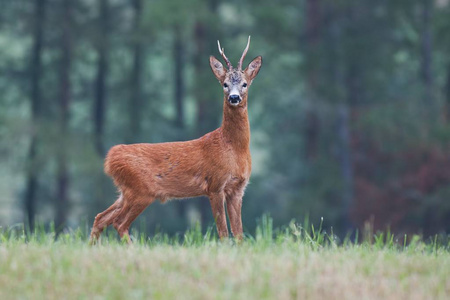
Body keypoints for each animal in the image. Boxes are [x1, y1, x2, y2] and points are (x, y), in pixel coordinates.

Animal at [89, 37, 262, 244]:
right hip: (141, 190)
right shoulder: (215, 185)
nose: (234, 97)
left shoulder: (237, 189)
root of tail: (111, 158)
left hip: (126, 191)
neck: (232, 148)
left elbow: (239, 233)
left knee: (100, 217)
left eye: (244, 84)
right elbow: (223, 232)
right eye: (225, 84)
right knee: (119, 223)